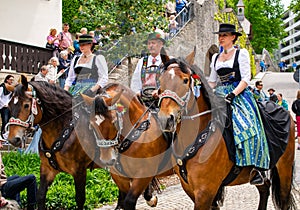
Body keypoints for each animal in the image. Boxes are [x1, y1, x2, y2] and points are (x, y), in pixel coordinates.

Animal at [5, 75, 101, 208]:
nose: (13, 139)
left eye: (26, 105)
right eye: (9, 105)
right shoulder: (47, 169)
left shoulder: (79, 171)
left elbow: (80, 199)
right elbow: (40, 196)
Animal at [156, 57, 296, 210]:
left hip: (284, 167)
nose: (165, 119)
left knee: (283, 198)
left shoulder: (205, 192)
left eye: (185, 80)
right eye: (161, 80)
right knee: (265, 187)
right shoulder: (190, 189)